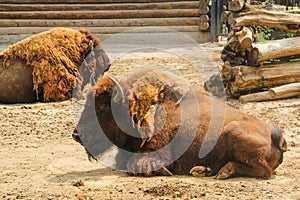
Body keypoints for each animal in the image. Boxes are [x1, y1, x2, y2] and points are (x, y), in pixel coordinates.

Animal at [73, 68, 288, 179]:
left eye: (102, 109)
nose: (76, 135)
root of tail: (275, 136)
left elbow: (138, 164)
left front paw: (162, 170)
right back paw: (204, 170)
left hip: (233, 131)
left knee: (265, 171)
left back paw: (223, 171)